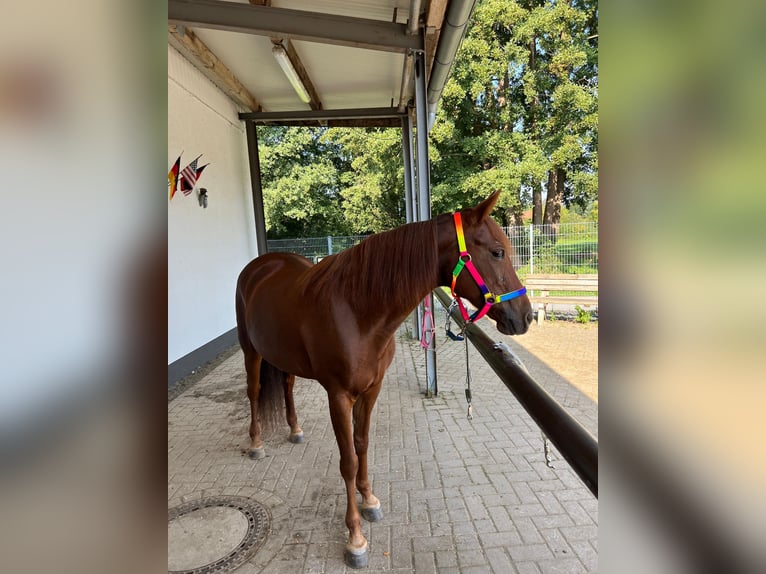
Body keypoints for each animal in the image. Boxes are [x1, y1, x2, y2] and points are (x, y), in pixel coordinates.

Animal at [236, 191, 536, 568]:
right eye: (497, 252)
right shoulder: (338, 396)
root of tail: (260, 265)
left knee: (287, 387)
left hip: (282, 356)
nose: (525, 316)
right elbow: (348, 461)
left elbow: (363, 444)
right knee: (253, 391)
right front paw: (355, 537)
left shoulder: (371, 390)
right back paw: (256, 442)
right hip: (250, 351)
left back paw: (294, 429)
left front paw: (369, 500)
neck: (356, 310)